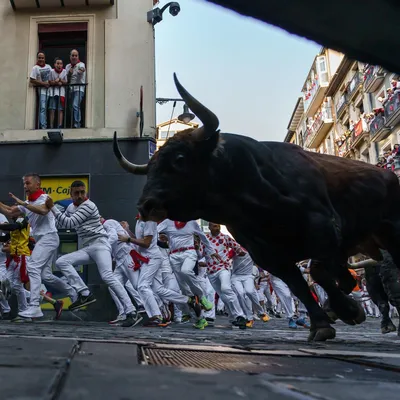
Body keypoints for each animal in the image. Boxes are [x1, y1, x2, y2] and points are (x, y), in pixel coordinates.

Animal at [111, 74, 400, 340]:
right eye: (151, 168)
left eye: (180, 159)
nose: (146, 205)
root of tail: (387, 174)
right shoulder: (268, 255)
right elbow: (300, 286)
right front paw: (323, 323)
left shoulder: (325, 230)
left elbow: (318, 272)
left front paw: (346, 311)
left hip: (388, 233)